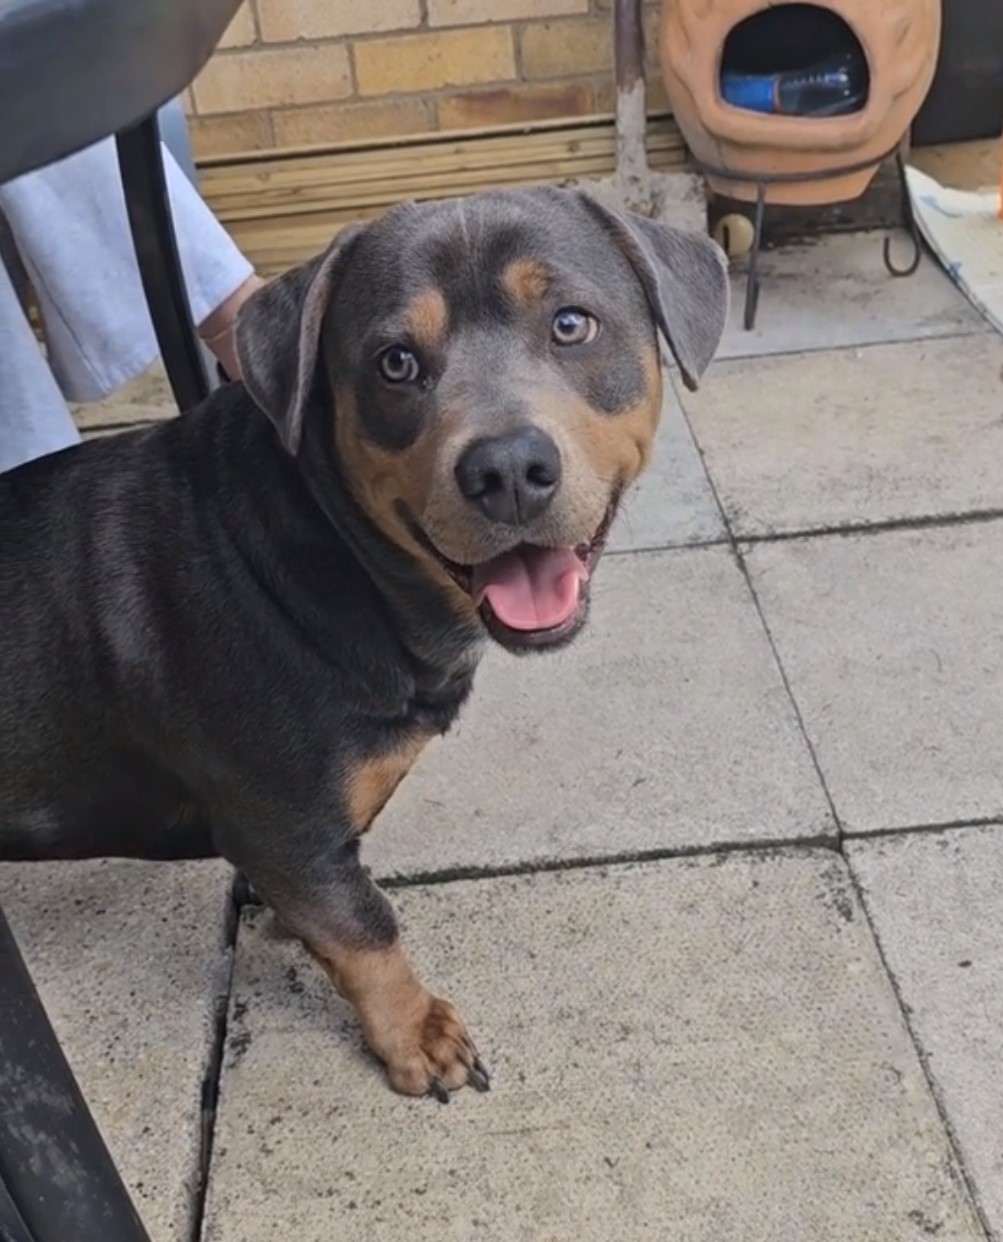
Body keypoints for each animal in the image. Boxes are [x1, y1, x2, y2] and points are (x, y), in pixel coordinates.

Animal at [0, 183, 729, 1097]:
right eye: (394, 363)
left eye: (571, 323)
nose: (508, 470)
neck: (330, 557)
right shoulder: (282, 825)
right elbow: (367, 932)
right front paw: (417, 1035)